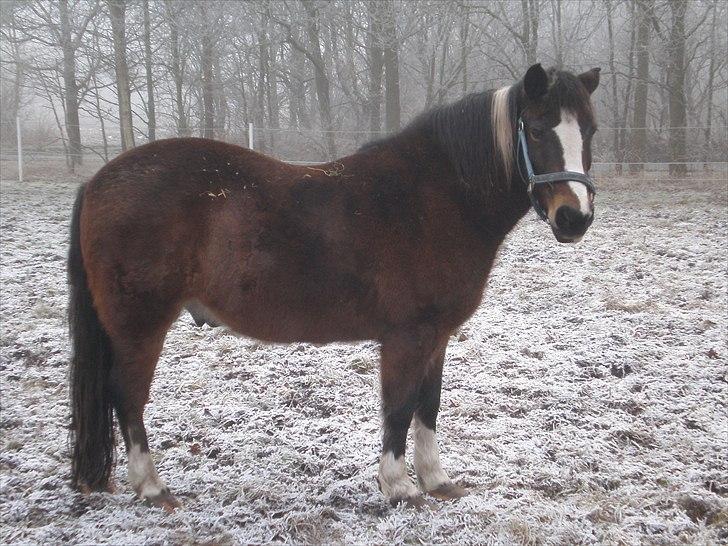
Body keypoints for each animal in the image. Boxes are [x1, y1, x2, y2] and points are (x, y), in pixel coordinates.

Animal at [68, 63, 600, 511]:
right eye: (536, 128)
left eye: (591, 130)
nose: (574, 218)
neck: (436, 197)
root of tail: (97, 180)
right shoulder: (407, 337)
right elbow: (399, 408)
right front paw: (399, 486)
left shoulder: (438, 335)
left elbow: (428, 405)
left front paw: (436, 480)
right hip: (141, 325)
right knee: (128, 396)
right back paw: (152, 487)